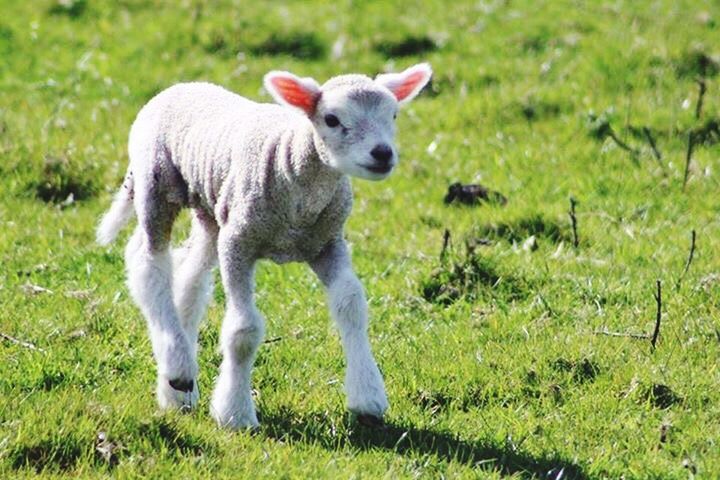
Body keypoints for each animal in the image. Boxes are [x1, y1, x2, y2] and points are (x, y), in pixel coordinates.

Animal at [95, 62, 434, 428]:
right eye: (331, 118)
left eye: (394, 115)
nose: (382, 153)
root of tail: (181, 86)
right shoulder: (239, 242)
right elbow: (244, 330)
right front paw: (236, 413)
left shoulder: (327, 242)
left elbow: (351, 305)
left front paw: (368, 396)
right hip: (156, 184)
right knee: (148, 263)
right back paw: (178, 365)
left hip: (213, 210)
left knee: (189, 277)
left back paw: (178, 389)